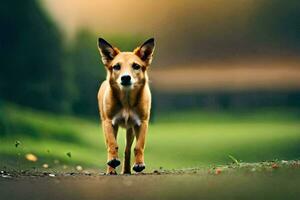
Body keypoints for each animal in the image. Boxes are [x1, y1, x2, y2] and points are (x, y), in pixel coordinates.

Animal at [97, 38, 156, 175]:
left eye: (136, 66)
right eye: (116, 66)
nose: (125, 77)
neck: (126, 101)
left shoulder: (142, 123)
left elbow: (138, 146)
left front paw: (139, 164)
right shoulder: (108, 122)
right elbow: (112, 143)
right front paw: (112, 161)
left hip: (131, 129)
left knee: (127, 148)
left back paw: (127, 170)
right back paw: (111, 169)